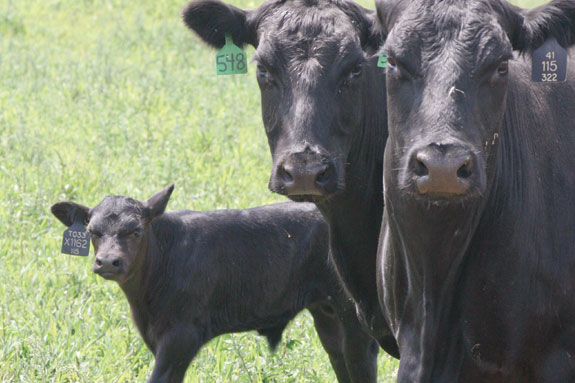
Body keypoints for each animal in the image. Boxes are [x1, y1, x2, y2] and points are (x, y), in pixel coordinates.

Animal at [51, 184, 380, 382]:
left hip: (355, 315)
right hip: (326, 311)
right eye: (93, 231)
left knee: (361, 360)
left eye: (135, 230)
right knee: (340, 358)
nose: (108, 262)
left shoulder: (181, 336)